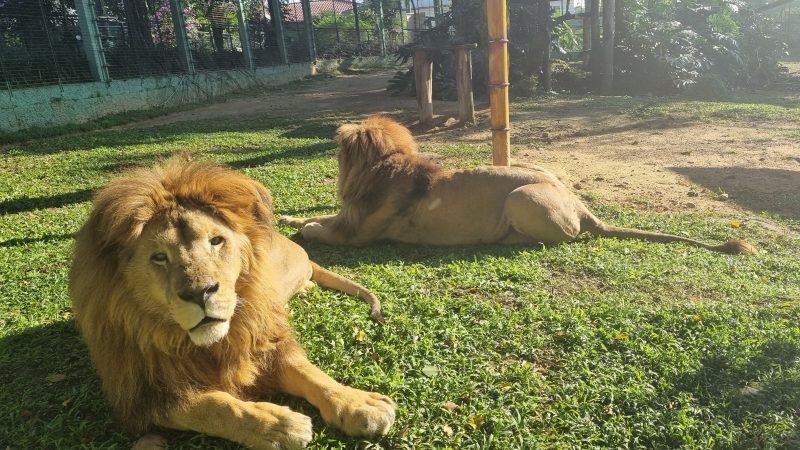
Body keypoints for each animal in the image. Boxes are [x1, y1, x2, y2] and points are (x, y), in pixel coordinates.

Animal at [70, 156, 396, 448]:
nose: (200, 293)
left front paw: (358, 403)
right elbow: (213, 406)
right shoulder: (144, 393)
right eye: (159, 257)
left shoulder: (263, 340)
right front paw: (276, 425)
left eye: (216, 241)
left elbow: (310, 373)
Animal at [280, 114, 756, 255]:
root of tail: (582, 207)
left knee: (560, 237)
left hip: (520, 195)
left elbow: (318, 230)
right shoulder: (349, 216)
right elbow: (315, 216)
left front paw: (303, 228)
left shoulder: (361, 235)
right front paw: (288, 216)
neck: (385, 169)